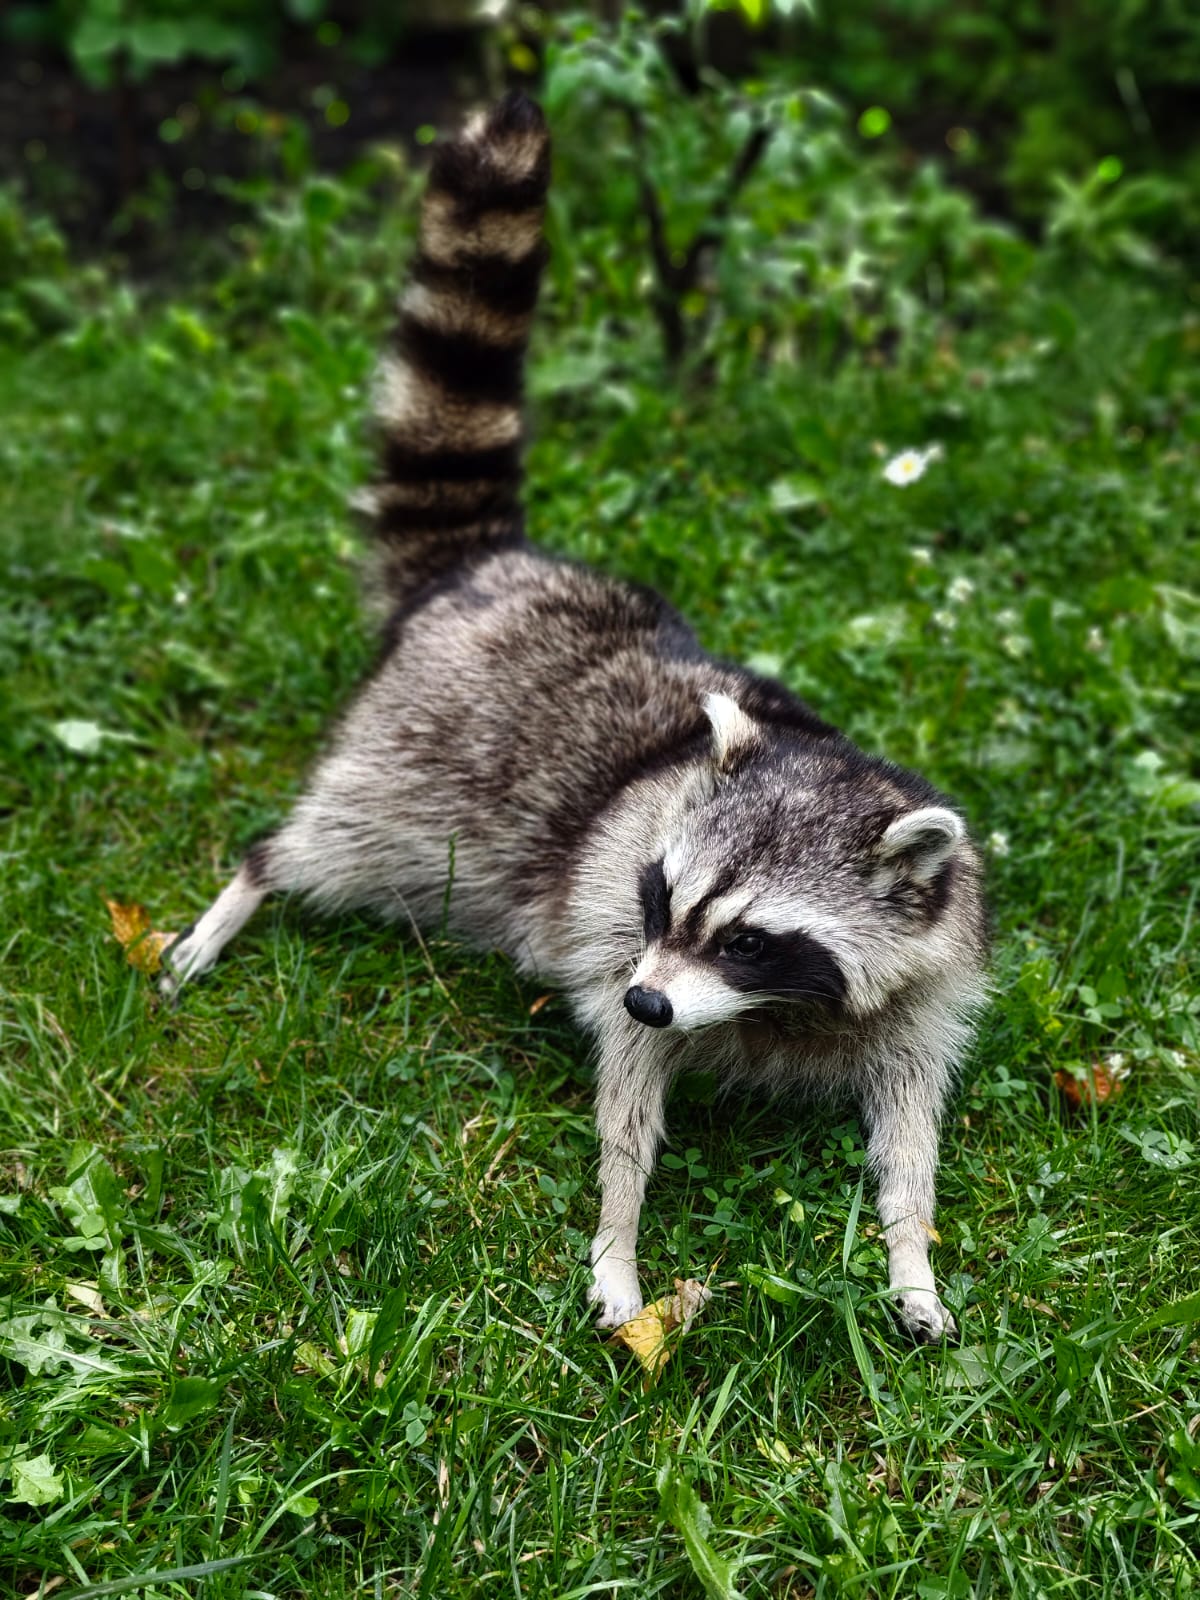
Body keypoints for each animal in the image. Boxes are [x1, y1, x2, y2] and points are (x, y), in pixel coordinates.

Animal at [164, 92, 988, 1342]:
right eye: (666, 896)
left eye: (750, 938)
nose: (652, 995)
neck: (775, 1008)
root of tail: (494, 566)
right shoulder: (614, 933)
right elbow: (626, 1108)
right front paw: (620, 1234)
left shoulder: (926, 988)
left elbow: (908, 1132)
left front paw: (910, 1255)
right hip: (415, 776)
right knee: (324, 848)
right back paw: (249, 888)